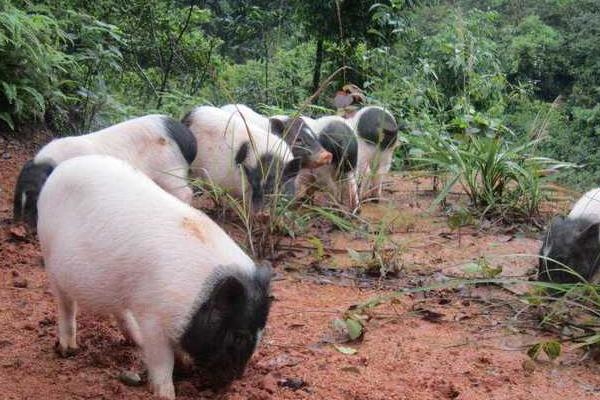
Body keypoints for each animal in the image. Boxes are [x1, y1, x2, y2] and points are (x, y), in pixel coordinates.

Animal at [37, 155, 272, 398]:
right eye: (238, 336)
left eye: (261, 332)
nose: (232, 381)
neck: (195, 297)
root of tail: (61, 169)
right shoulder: (153, 318)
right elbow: (162, 361)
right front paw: (167, 394)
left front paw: (185, 366)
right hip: (50, 258)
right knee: (66, 305)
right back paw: (69, 350)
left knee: (119, 310)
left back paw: (135, 340)